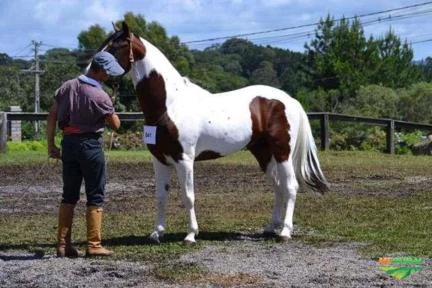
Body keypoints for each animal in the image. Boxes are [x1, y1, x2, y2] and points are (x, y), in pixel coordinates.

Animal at [97, 21, 328, 244]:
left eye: (116, 46)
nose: (94, 70)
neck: (170, 104)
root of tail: (290, 100)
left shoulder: (184, 160)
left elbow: (188, 196)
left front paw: (191, 235)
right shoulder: (160, 160)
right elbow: (161, 196)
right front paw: (157, 233)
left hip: (282, 152)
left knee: (290, 186)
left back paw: (285, 232)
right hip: (263, 153)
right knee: (278, 187)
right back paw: (271, 228)